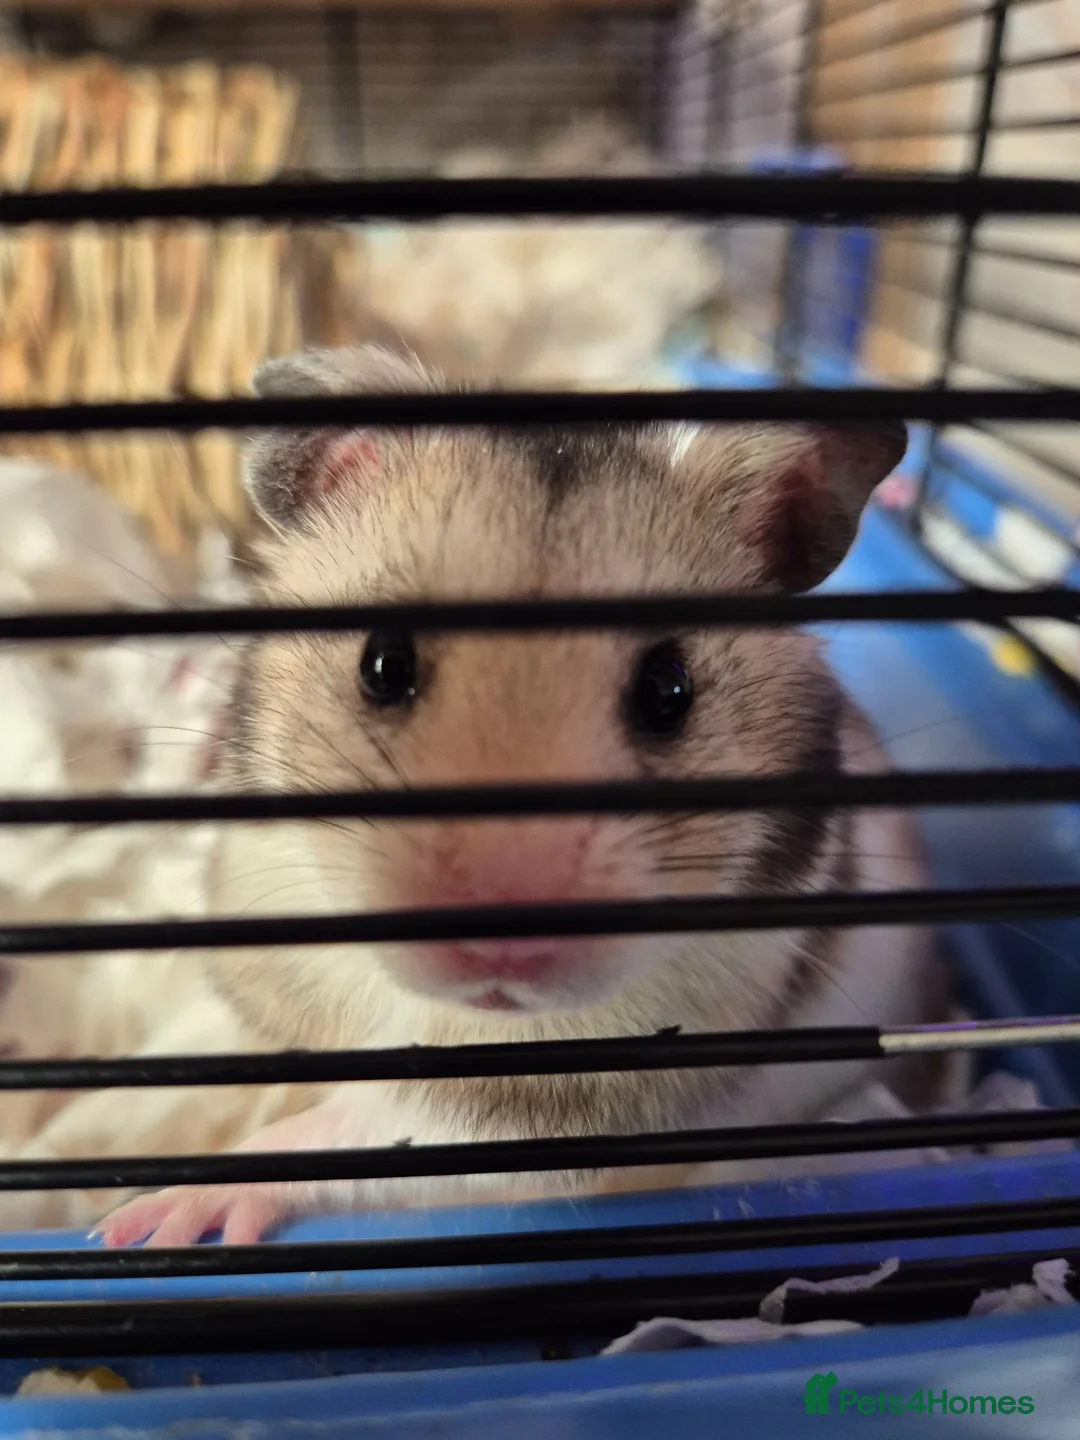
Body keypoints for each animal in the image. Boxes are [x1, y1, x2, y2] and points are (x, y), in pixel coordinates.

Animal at [98, 344, 947, 1248]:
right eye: (383, 663)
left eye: (670, 689)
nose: (499, 953)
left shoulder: (533, 1111)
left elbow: (359, 1137)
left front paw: (145, 1222)